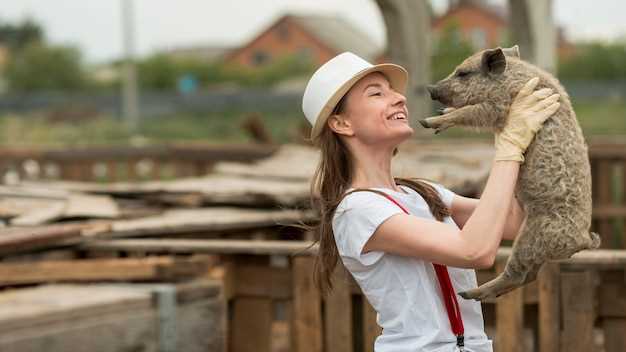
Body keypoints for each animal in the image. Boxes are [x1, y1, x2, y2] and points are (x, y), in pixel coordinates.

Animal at [422, 46, 596, 300]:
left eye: (463, 73)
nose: (430, 88)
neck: (511, 80)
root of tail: (583, 240)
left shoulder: (498, 107)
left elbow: (470, 111)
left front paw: (426, 122)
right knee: (529, 276)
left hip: (531, 240)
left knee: (518, 274)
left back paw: (468, 294)